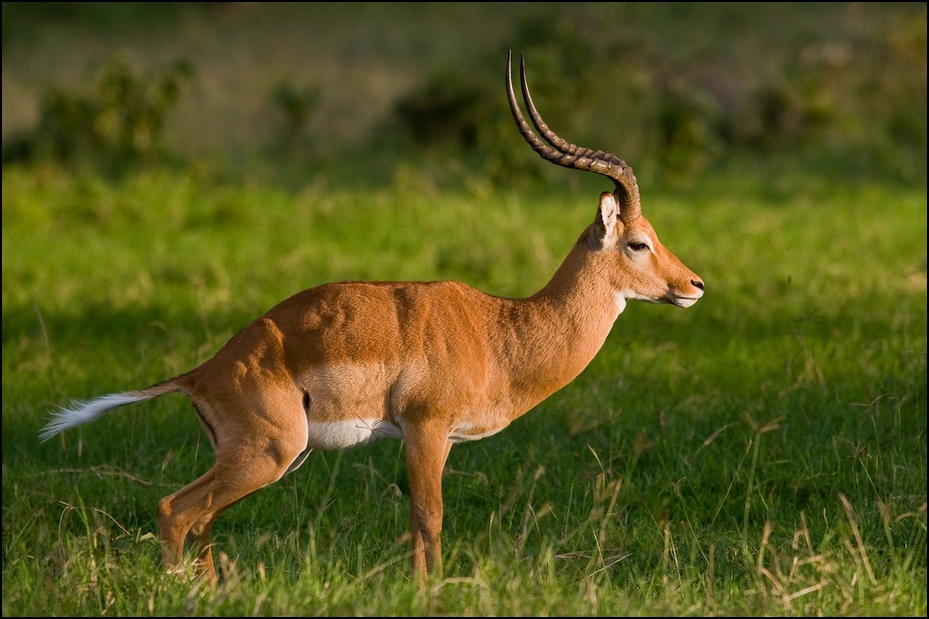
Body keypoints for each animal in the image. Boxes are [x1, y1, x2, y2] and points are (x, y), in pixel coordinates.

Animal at [38, 52, 704, 580]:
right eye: (638, 241)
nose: (693, 285)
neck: (497, 331)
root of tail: (203, 372)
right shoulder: (425, 430)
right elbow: (429, 518)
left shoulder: (436, 440)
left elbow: (415, 521)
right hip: (268, 454)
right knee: (175, 511)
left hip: (258, 459)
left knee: (199, 521)